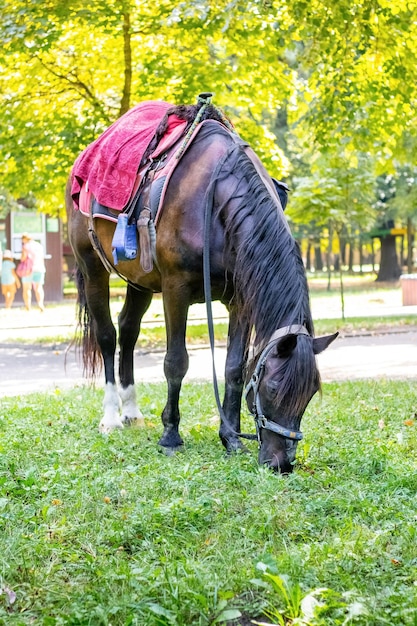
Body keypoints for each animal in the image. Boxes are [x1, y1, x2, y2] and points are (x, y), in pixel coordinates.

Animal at [66, 101, 338, 468]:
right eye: (271, 389)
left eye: (308, 395)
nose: (281, 464)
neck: (217, 202)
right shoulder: (175, 290)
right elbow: (176, 362)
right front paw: (170, 436)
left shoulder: (239, 300)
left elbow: (234, 367)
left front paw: (231, 438)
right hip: (93, 267)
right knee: (107, 336)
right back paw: (110, 417)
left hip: (139, 281)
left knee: (129, 330)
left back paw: (132, 412)